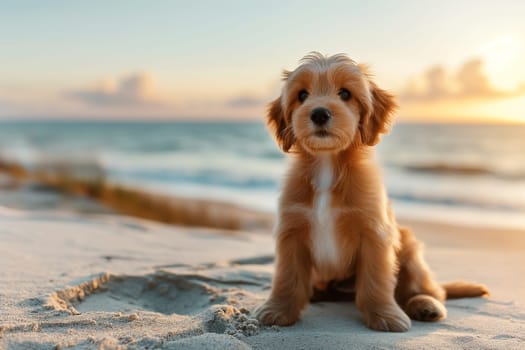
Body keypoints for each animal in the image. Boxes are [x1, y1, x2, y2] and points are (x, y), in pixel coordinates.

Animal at [254, 52, 488, 330]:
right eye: (302, 95)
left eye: (345, 93)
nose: (319, 114)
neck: (327, 164)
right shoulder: (292, 230)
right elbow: (288, 277)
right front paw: (278, 309)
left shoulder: (374, 233)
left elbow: (376, 280)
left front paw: (384, 315)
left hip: (410, 250)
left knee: (427, 289)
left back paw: (425, 304)